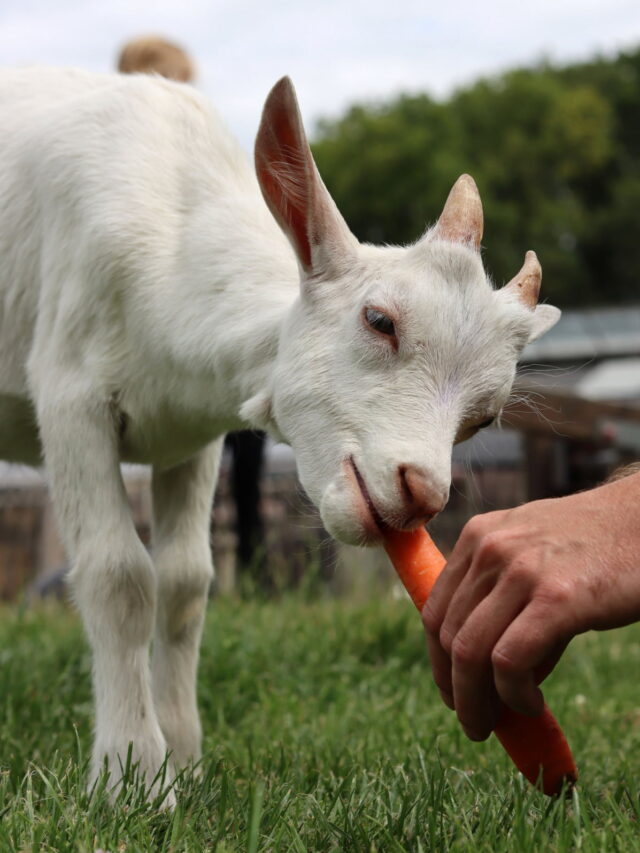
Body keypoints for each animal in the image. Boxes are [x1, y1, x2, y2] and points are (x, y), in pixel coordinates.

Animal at [0, 68, 560, 803]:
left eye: (484, 416)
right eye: (378, 319)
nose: (421, 491)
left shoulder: (189, 434)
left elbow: (185, 582)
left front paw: (184, 762)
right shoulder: (70, 395)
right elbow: (119, 576)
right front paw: (133, 779)